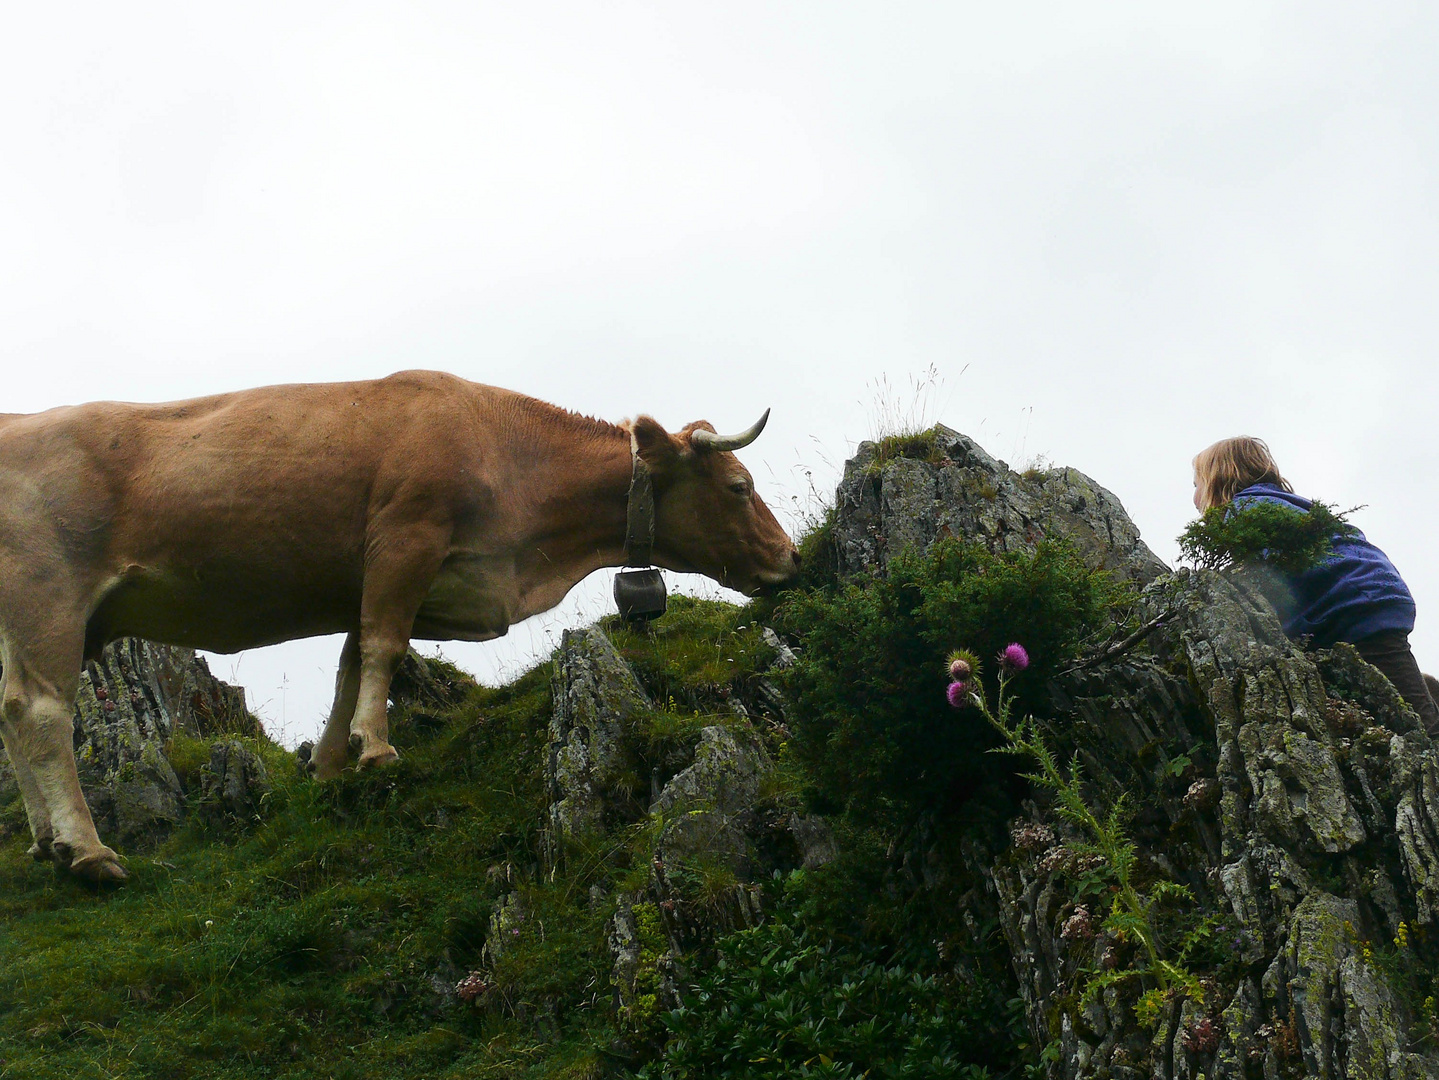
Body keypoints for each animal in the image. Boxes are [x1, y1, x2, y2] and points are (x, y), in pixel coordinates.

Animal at [0, 371, 800, 880]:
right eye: (739, 487)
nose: (791, 559)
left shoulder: (395, 581)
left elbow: (353, 660)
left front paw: (331, 763)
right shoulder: (404, 539)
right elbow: (383, 648)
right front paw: (379, 749)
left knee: (10, 715)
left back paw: (45, 843)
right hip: (48, 596)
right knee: (42, 713)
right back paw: (89, 852)